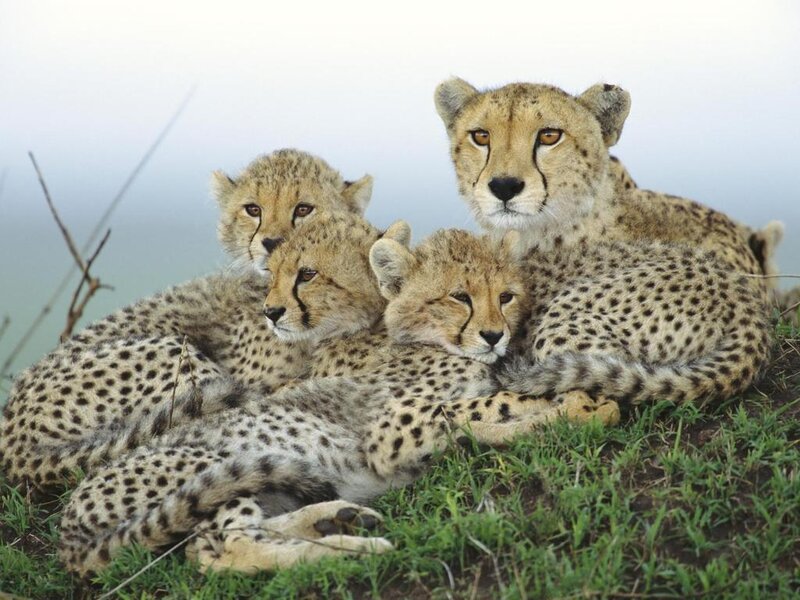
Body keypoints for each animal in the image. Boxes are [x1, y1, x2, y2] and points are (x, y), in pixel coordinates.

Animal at [59, 215, 620, 576]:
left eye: (506, 296)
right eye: (460, 297)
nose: (494, 335)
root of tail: (69, 518)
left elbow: (482, 411)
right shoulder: (390, 431)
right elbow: (482, 406)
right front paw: (573, 406)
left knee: (224, 544)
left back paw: (337, 518)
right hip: (212, 466)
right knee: (229, 550)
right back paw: (355, 551)